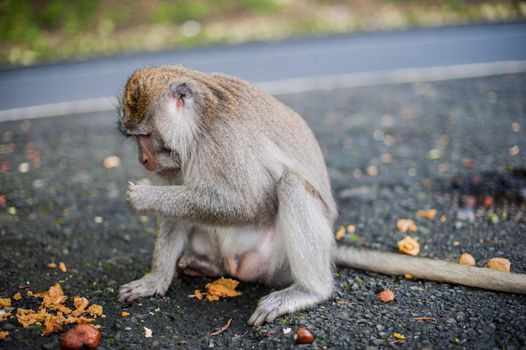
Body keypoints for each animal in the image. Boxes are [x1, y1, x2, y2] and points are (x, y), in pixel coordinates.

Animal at [118, 65, 526, 328]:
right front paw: (155, 279)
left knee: (290, 186)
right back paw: (209, 266)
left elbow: (250, 202)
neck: (197, 127)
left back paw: (309, 290)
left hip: (276, 260)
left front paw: (145, 199)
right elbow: (180, 208)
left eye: (145, 135)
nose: (142, 159)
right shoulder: (177, 163)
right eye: (135, 138)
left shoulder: (223, 141)